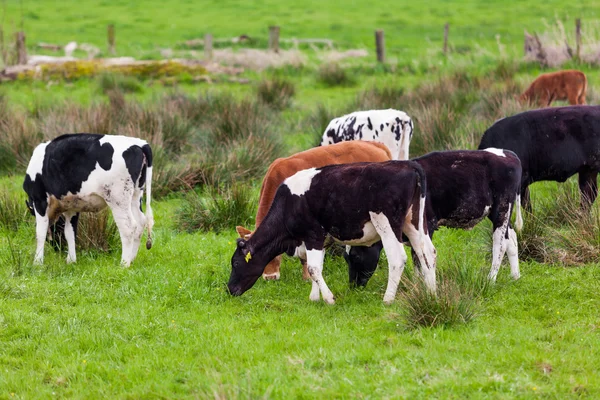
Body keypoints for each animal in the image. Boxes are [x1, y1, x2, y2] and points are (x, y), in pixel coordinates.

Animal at [22, 133, 155, 268]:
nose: (58, 248)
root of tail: (140, 143)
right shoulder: (72, 206)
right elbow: (70, 232)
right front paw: (71, 260)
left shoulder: (39, 200)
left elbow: (40, 232)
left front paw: (37, 262)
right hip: (135, 195)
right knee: (141, 222)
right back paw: (132, 260)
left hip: (118, 199)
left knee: (129, 227)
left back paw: (124, 264)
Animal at [227, 159, 438, 304]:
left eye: (236, 263)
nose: (229, 288)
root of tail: (408, 164)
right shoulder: (320, 240)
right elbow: (314, 267)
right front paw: (314, 297)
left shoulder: (313, 235)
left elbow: (313, 267)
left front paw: (329, 298)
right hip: (414, 222)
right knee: (427, 253)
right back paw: (431, 293)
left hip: (387, 223)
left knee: (397, 258)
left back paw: (388, 299)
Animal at [344, 148, 524, 286]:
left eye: (355, 256)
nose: (353, 285)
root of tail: (508, 154)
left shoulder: (427, 225)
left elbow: (419, 256)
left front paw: (420, 285)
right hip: (499, 213)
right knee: (512, 238)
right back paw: (515, 276)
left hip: (502, 207)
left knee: (500, 243)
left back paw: (490, 280)